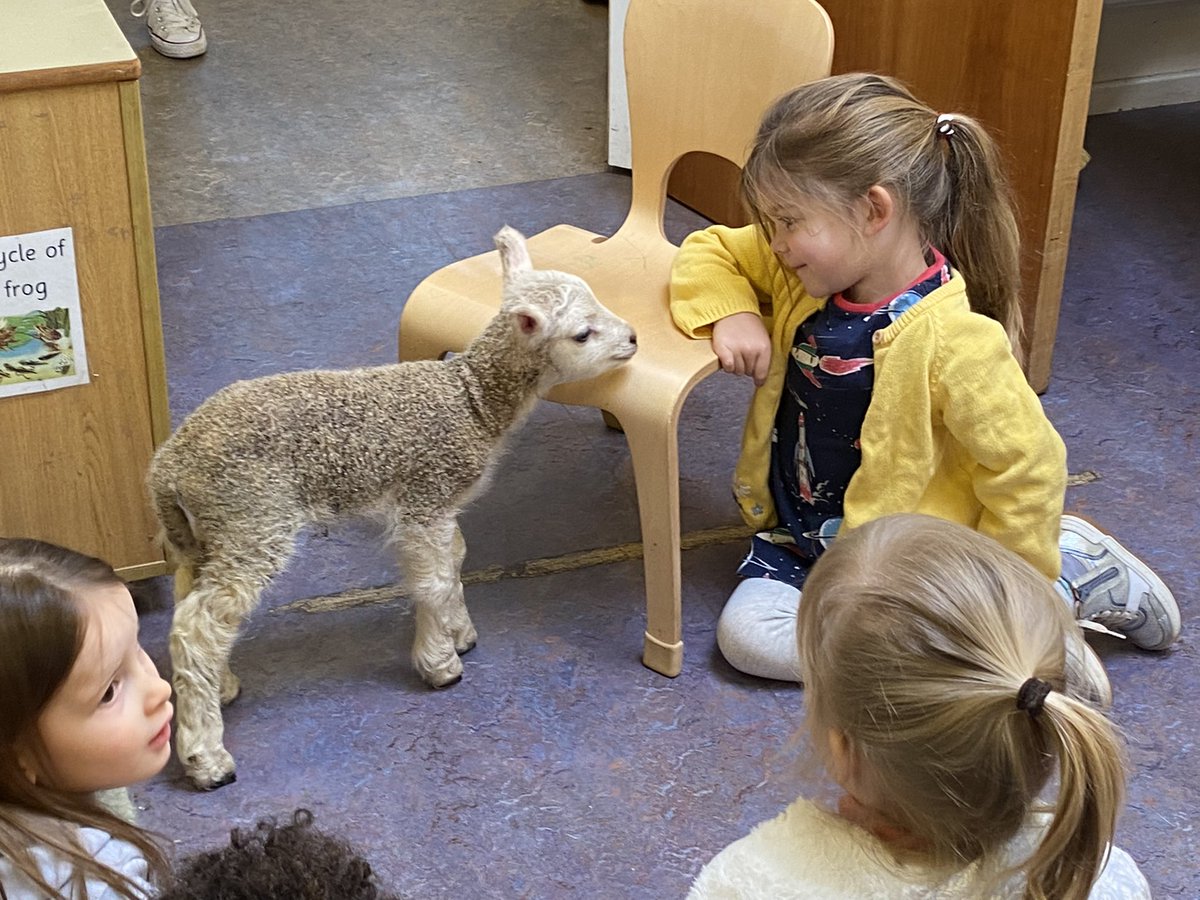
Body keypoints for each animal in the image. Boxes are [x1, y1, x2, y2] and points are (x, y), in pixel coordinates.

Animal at [147, 229, 638, 792]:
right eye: (583, 334)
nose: (633, 339)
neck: (472, 400)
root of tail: (168, 465)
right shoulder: (425, 497)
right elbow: (434, 581)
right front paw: (440, 662)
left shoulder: (440, 503)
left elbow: (455, 559)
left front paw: (459, 632)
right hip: (253, 515)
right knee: (197, 627)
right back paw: (207, 758)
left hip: (207, 530)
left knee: (193, 606)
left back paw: (219, 686)